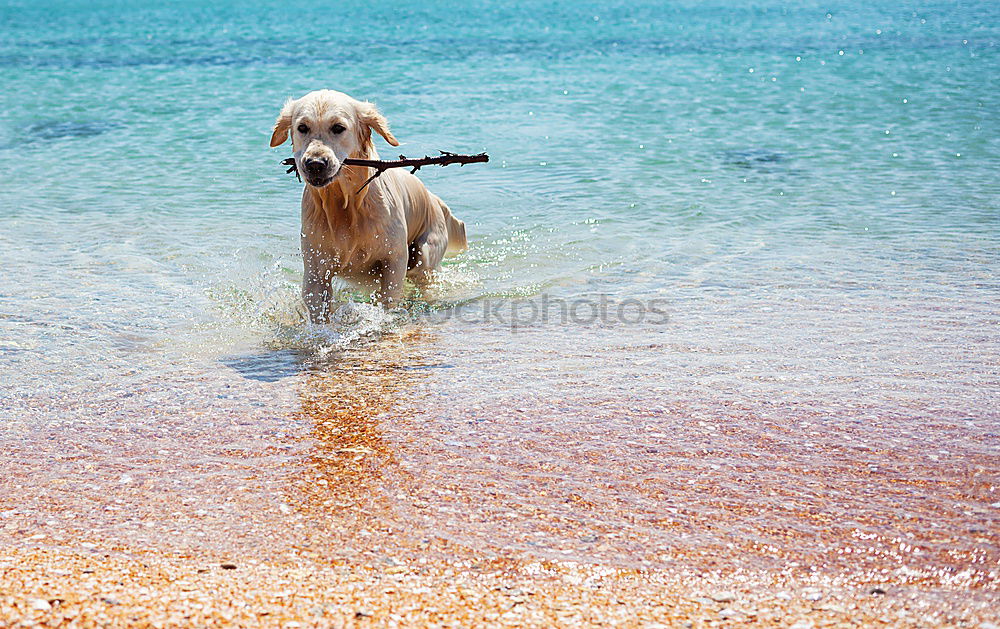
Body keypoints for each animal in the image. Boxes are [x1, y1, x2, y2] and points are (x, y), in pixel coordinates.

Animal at [268, 89, 466, 322]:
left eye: (338, 128)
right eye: (302, 128)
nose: (315, 164)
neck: (344, 205)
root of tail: (433, 197)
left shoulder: (394, 260)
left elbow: (387, 298)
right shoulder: (316, 268)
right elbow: (318, 309)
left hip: (424, 253)